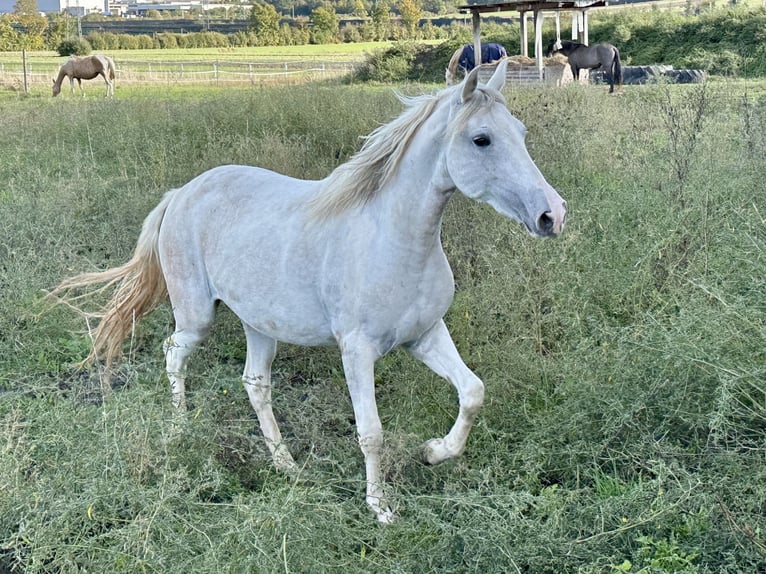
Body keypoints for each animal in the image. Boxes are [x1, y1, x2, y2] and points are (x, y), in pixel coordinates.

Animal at [52, 63, 564, 528]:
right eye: (481, 139)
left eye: (520, 132)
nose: (552, 215)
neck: (394, 241)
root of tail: (181, 193)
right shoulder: (356, 350)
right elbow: (371, 432)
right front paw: (380, 508)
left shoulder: (425, 336)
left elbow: (473, 392)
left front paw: (434, 453)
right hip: (196, 316)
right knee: (173, 353)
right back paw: (180, 429)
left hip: (259, 323)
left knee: (255, 383)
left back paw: (286, 464)